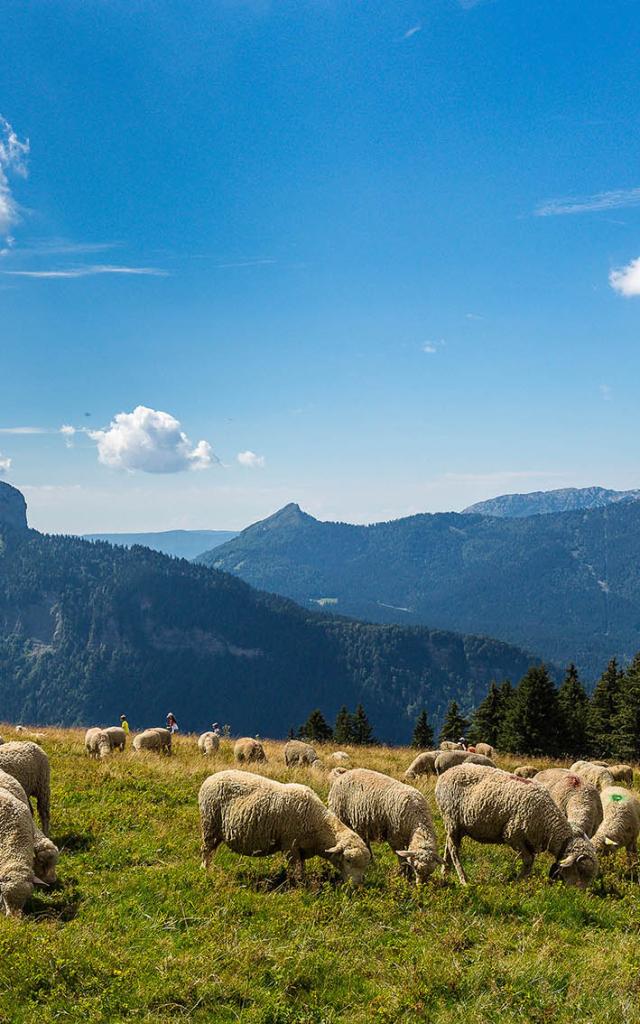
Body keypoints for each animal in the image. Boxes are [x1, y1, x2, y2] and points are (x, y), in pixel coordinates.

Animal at [198, 770, 368, 884]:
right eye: (348, 860)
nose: (357, 885)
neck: (318, 824)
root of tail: (209, 778)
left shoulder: (301, 849)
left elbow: (301, 868)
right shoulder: (290, 845)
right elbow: (295, 870)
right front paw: (297, 886)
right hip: (209, 824)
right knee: (206, 850)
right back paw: (205, 871)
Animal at [434, 761, 598, 888]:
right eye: (580, 870)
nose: (578, 895)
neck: (548, 823)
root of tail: (446, 773)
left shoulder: (530, 842)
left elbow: (530, 863)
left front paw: (521, 880)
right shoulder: (513, 835)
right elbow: (528, 861)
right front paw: (517, 882)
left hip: (456, 825)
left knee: (448, 846)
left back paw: (445, 871)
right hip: (452, 818)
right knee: (454, 850)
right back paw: (463, 879)